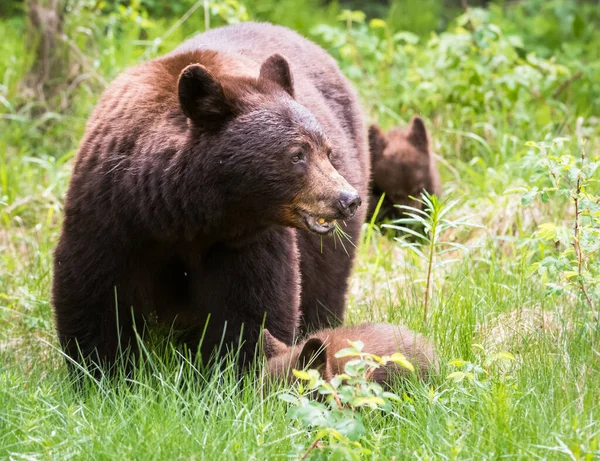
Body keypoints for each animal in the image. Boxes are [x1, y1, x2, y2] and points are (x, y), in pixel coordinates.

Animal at [52, 22, 370, 374]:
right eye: (297, 155)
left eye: (326, 151)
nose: (347, 199)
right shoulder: (111, 211)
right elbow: (96, 291)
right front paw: (102, 371)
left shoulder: (246, 241)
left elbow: (251, 305)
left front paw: (236, 369)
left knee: (327, 282)